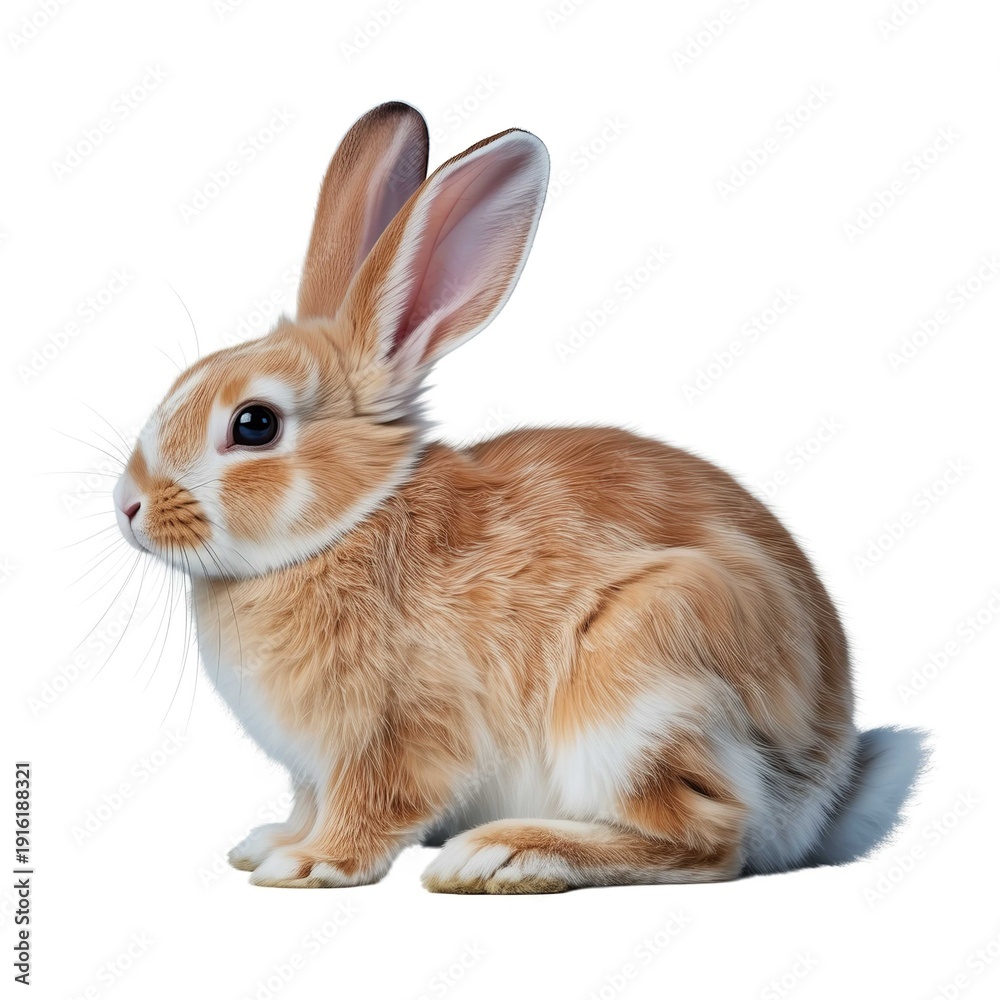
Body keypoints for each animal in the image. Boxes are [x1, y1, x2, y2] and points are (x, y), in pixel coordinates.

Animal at [112, 101, 927, 892]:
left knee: (710, 839)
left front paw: (309, 865)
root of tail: (821, 785)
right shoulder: (314, 768)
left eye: (254, 424)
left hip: (639, 685)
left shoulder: (397, 734)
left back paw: (504, 856)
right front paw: (271, 843)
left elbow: (370, 804)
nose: (129, 506)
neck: (347, 522)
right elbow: (308, 801)